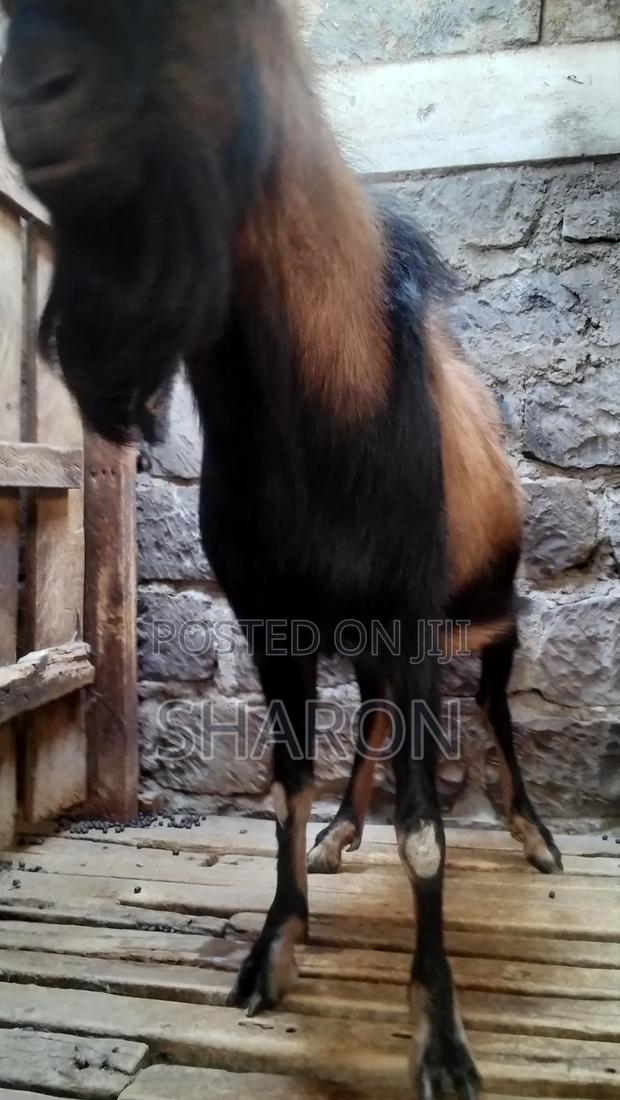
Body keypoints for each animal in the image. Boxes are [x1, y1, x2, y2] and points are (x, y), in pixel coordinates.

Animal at [0, 2, 561, 1096]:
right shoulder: (275, 625)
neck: (317, 414)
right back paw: (345, 830)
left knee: (494, 711)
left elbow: (426, 834)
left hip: (491, 613)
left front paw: (440, 1036)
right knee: (375, 721)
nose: (30, 95)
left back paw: (533, 833)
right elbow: (283, 787)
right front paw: (276, 943)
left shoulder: (410, 616)